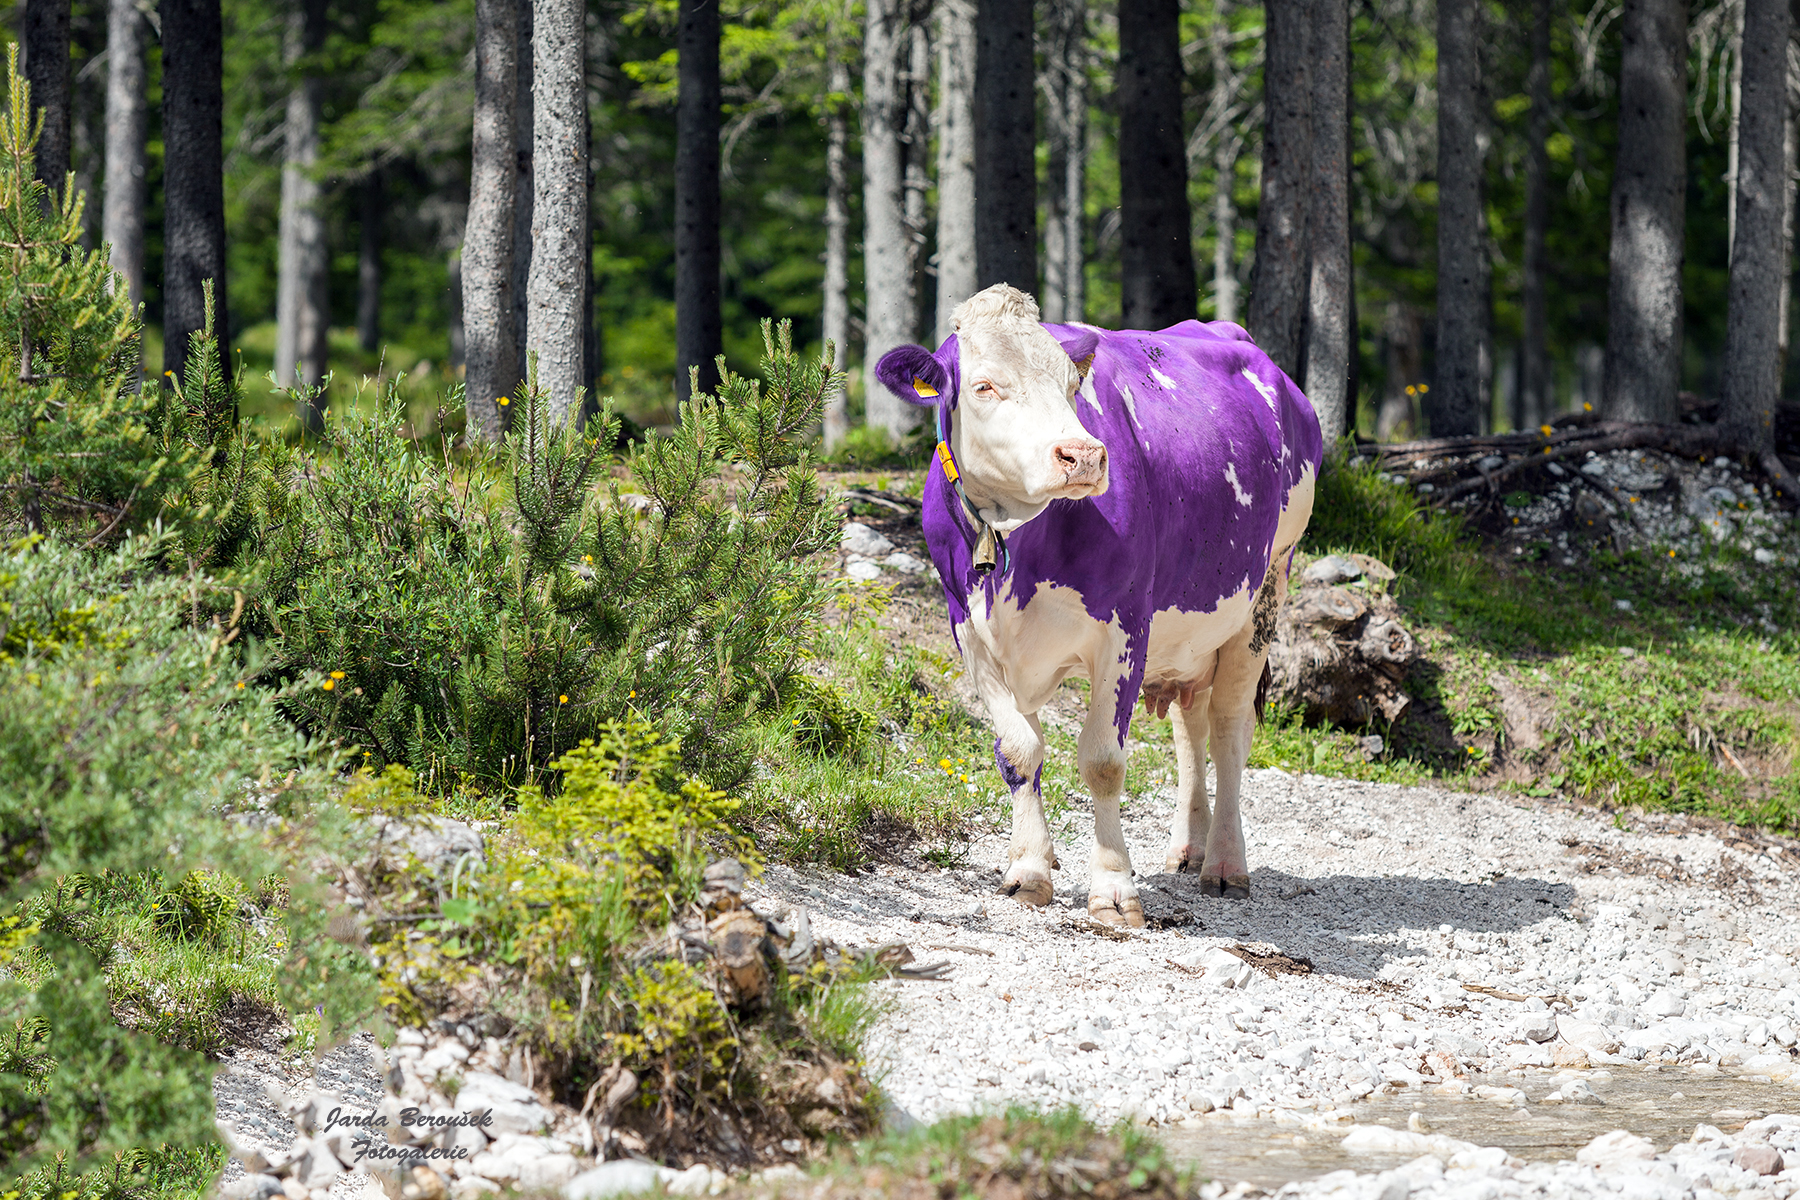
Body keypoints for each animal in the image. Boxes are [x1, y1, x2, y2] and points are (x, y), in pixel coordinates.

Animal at [874, 284, 1324, 928]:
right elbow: (1019, 751)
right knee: (1191, 728)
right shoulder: (972, 634)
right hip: (1190, 634)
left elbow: (1104, 761)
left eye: (1071, 386)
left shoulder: (1124, 630)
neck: (1018, 542)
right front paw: (1029, 871)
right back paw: (1188, 847)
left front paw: (1113, 890)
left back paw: (1224, 864)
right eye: (984, 386)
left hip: (1266, 589)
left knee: (1228, 732)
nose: (1083, 455)